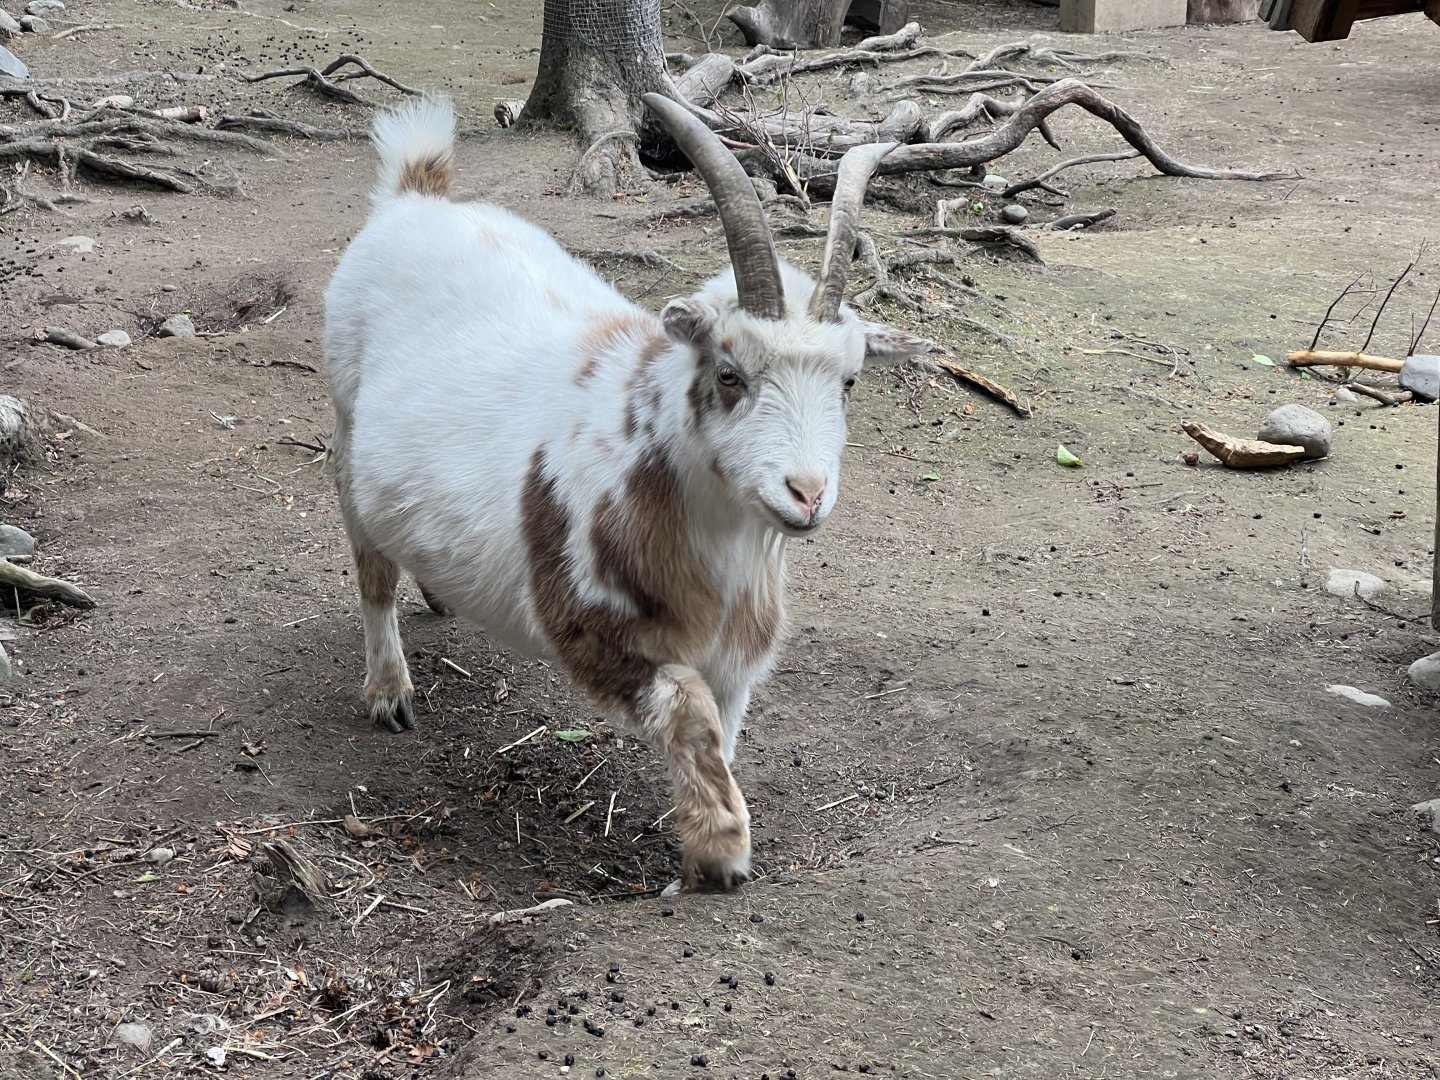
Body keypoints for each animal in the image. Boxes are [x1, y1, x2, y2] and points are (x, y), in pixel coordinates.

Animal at [323, 93, 931, 891]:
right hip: (343, 423)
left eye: (851, 380)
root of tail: (412, 195)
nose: (805, 493)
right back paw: (389, 693)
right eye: (729, 373)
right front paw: (720, 854)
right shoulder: (586, 630)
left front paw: (697, 843)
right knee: (370, 567)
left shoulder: (737, 656)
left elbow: (722, 734)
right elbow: (688, 711)